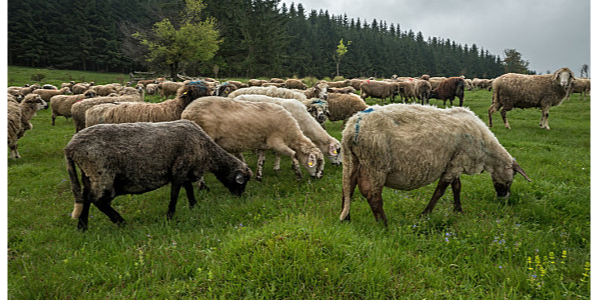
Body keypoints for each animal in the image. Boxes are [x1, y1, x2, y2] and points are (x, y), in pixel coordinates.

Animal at [64, 118, 252, 231]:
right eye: (242, 182)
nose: (240, 198)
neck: (206, 150)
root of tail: (71, 147)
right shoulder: (179, 169)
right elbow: (175, 193)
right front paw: (170, 216)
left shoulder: (185, 170)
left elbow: (188, 189)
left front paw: (194, 206)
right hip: (101, 173)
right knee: (98, 200)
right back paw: (121, 222)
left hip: (88, 175)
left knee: (86, 197)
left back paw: (82, 226)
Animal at [182, 96, 326, 180]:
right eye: (317, 162)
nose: (318, 177)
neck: (291, 133)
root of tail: (186, 112)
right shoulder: (276, 142)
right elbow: (293, 154)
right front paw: (298, 174)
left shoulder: (263, 144)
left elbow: (261, 161)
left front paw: (258, 177)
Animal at [340, 103, 532, 225]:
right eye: (512, 177)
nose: (503, 198)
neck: (487, 151)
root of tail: (351, 128)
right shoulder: (458, 162)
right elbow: (440, 191)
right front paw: (425, 214)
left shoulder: (454, 162)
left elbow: (457, 187)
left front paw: (458, 210)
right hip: (376, 163)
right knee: (373, 195)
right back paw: (384, 225)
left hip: (355, 160)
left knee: (348, 187)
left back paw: (346, 218)